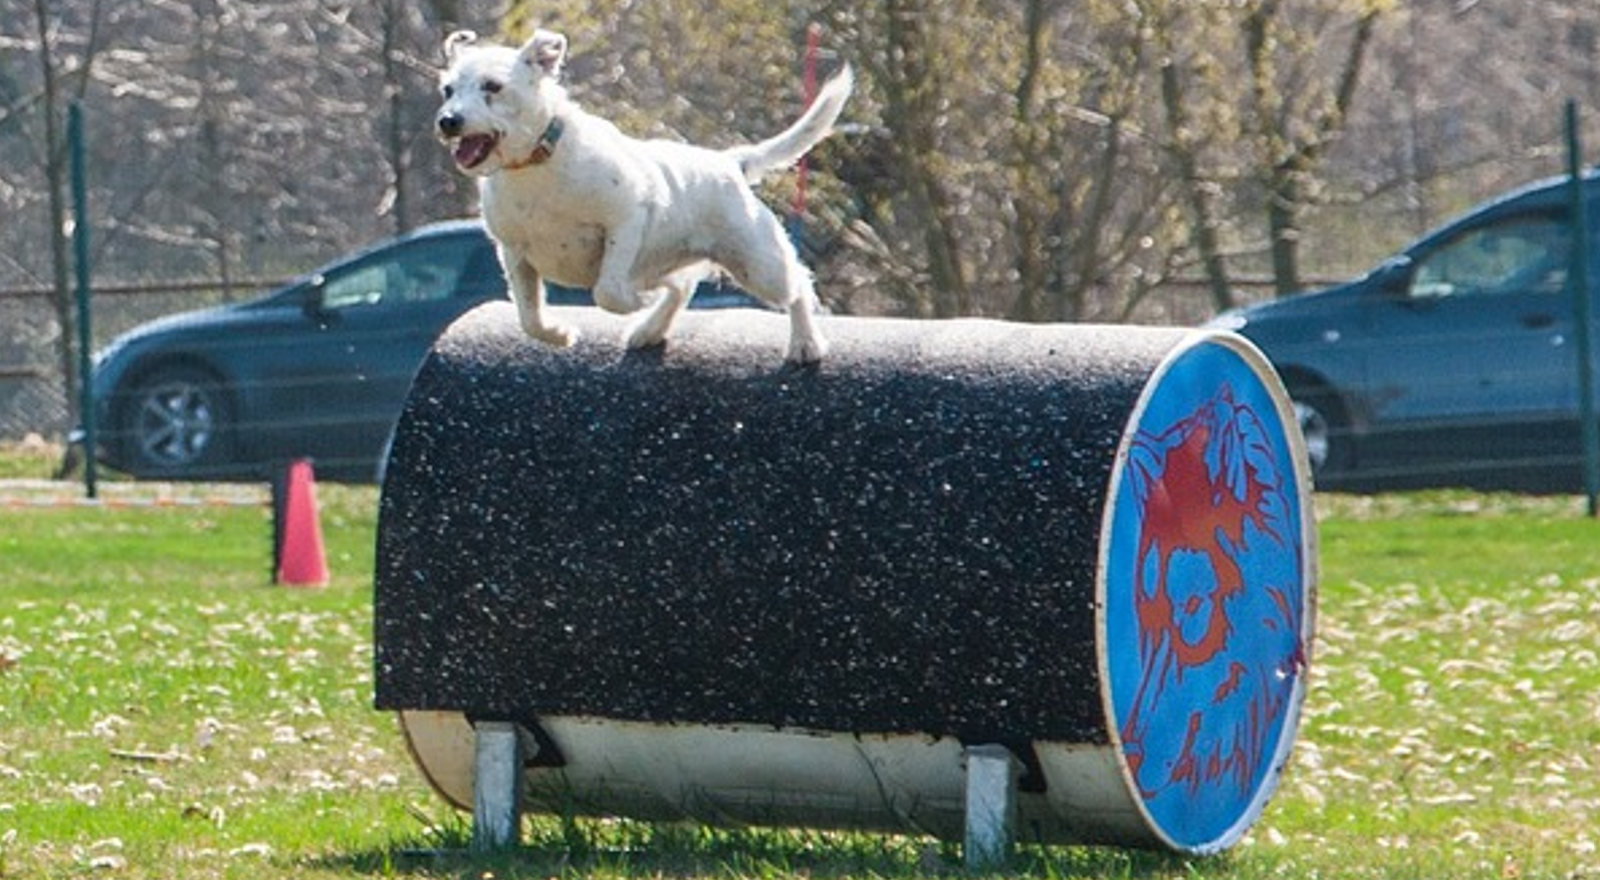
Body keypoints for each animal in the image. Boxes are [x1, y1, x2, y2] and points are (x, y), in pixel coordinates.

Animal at [425, 29, 851, 363]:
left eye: (492, 87)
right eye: (448, 90)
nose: (448, 121)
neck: (535, 166)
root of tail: (729, 161)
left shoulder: (625, 219)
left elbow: (608, 291)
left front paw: (634, 303)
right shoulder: (513, 251)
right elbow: (529, 316)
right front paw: (560, 334)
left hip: (758, 263)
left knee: (798, 285)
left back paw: (805, 343)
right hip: (666, 261)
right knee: (682, 287)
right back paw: (650, 329)